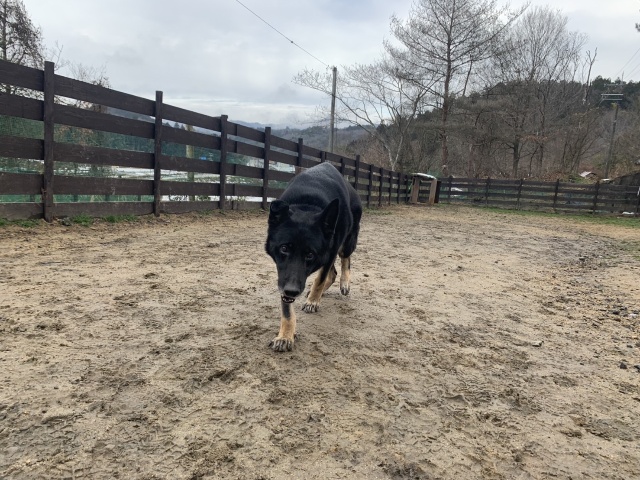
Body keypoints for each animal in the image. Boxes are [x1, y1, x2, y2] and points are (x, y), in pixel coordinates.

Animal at [265, 162, 362, 352]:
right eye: (284, 248)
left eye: (310, 254)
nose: (292, 291)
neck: (307, 205)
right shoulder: (284, 275)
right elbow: (286, 308)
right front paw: (285, 335)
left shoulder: (328, 251)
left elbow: (320, 279)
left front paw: (313, 301)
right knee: (333, 273)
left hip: (345, 243)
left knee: (345, 260)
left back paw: (343, 283)